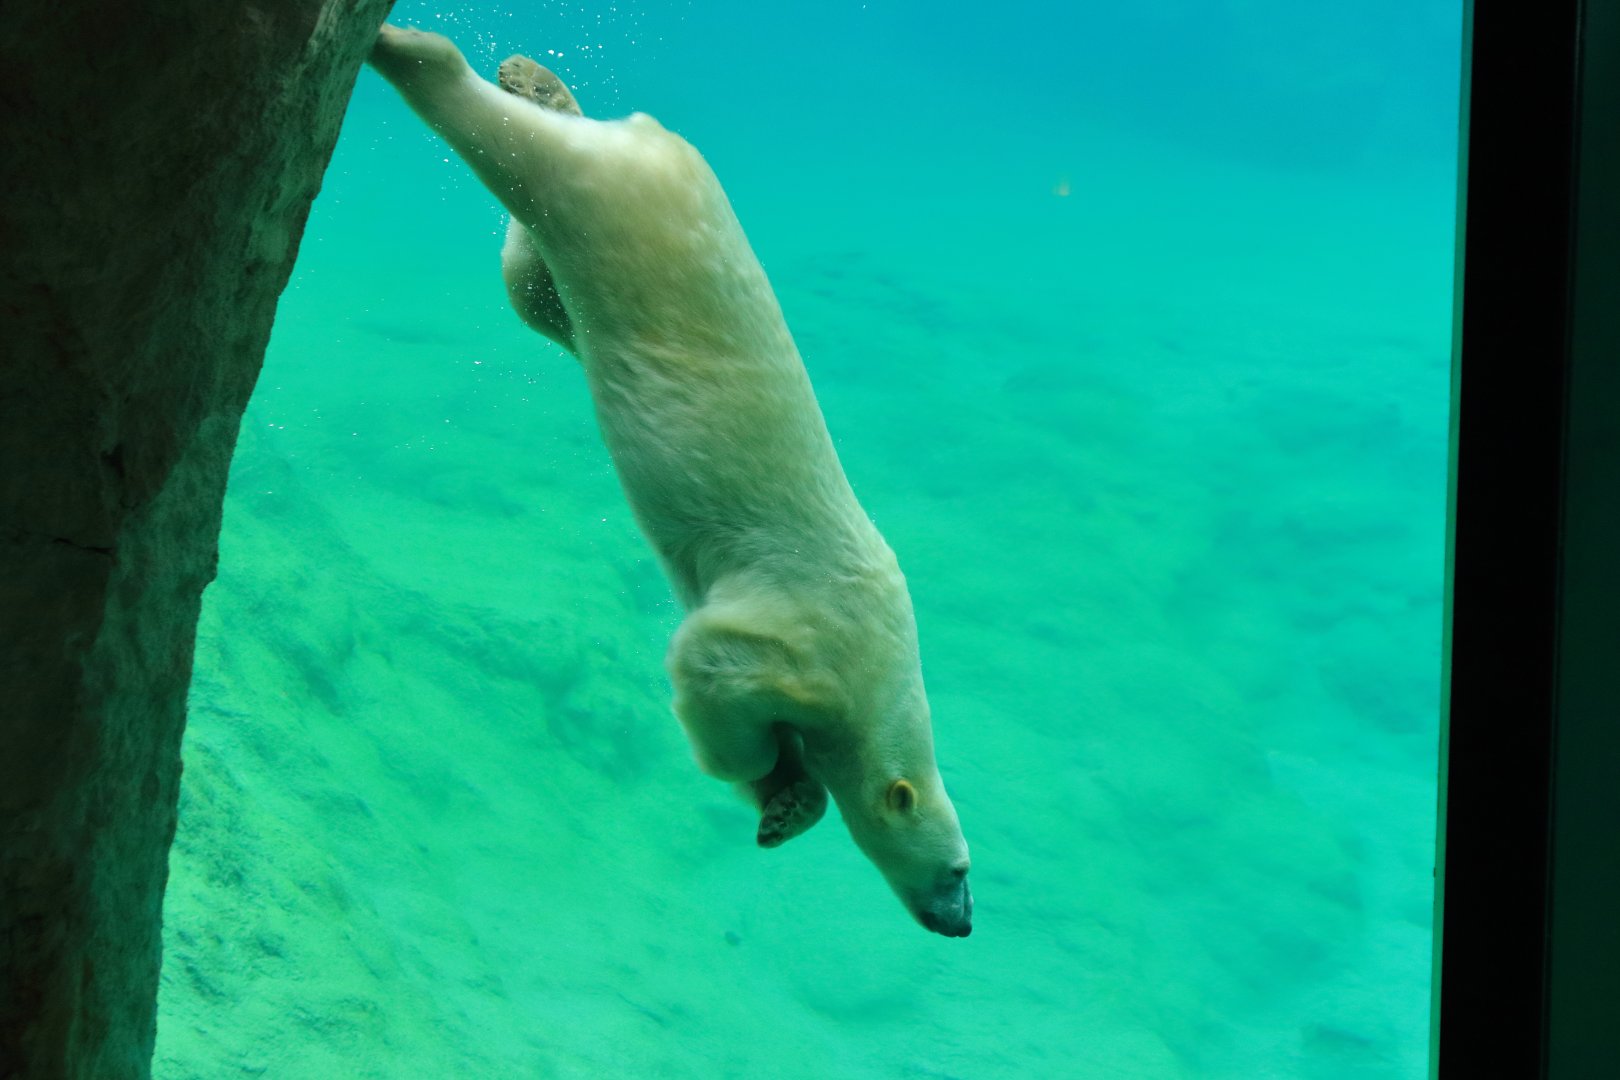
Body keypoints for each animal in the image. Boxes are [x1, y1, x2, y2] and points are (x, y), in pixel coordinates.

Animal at [367, 24, 972, 937]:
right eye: (957, 868)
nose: (963, 921)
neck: (884, 678)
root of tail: (652, 147)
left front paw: (785, 796)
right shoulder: (808, 644)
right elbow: (710, 671)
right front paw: (790, 795)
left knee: (532, 283)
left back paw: (535, 81)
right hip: (614, 205)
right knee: (512, 150)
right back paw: (412, 49)